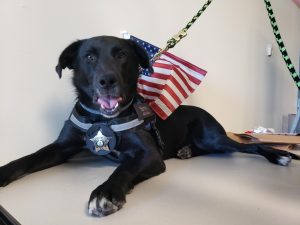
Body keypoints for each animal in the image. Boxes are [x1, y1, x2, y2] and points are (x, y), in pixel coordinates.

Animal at [0, 36, 298, 217]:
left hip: (212, 136)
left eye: (121, 55)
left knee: (247, 147)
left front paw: (106, 192)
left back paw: (279, 155)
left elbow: (123, 168)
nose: (107, 81)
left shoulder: (149, 154)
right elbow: (28, 158)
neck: (103, 120)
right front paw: (4, 172)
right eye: (89, 57)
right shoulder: (61, 147)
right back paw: (186, 151)